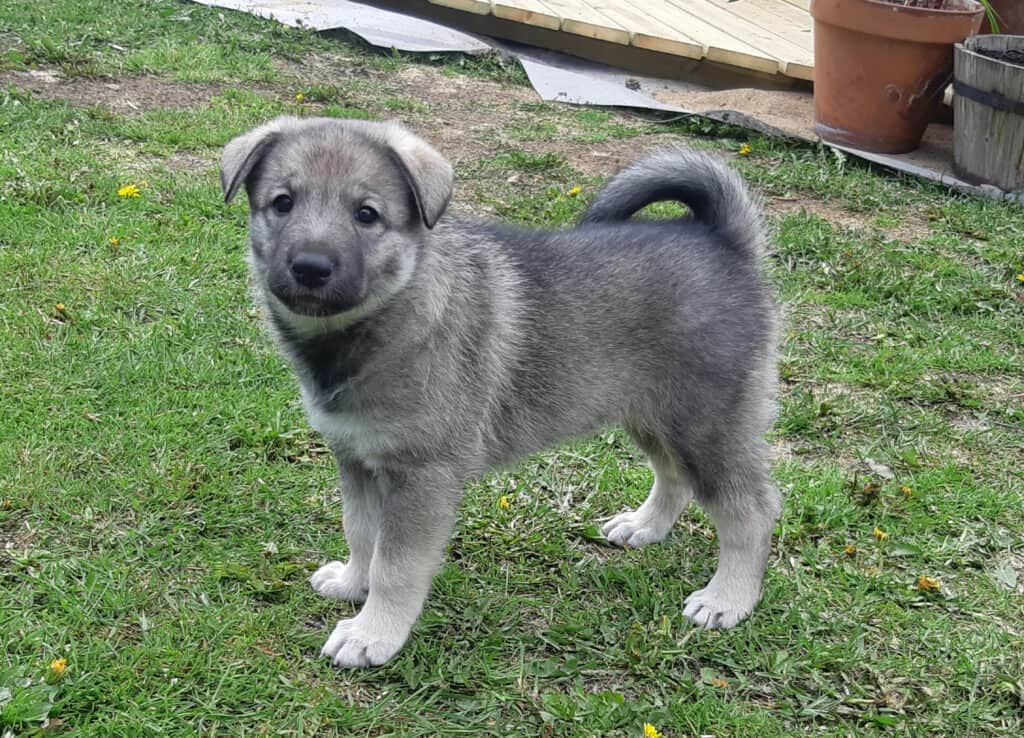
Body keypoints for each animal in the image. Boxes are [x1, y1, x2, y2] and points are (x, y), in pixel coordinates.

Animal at [222, 116, 774, 667]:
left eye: (367, 215)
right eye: (282, 203)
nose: (310, 267)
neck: (383, 317)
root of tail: (722, 239)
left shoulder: (422, 475)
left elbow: (395, 564)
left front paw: (372, 633)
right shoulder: (355, 458)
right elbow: (361, 532)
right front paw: (353, 584)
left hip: (706, 425)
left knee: (752, 511)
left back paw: (727, 599)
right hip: (653, 413)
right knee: (674, 476)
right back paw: (645, 527)